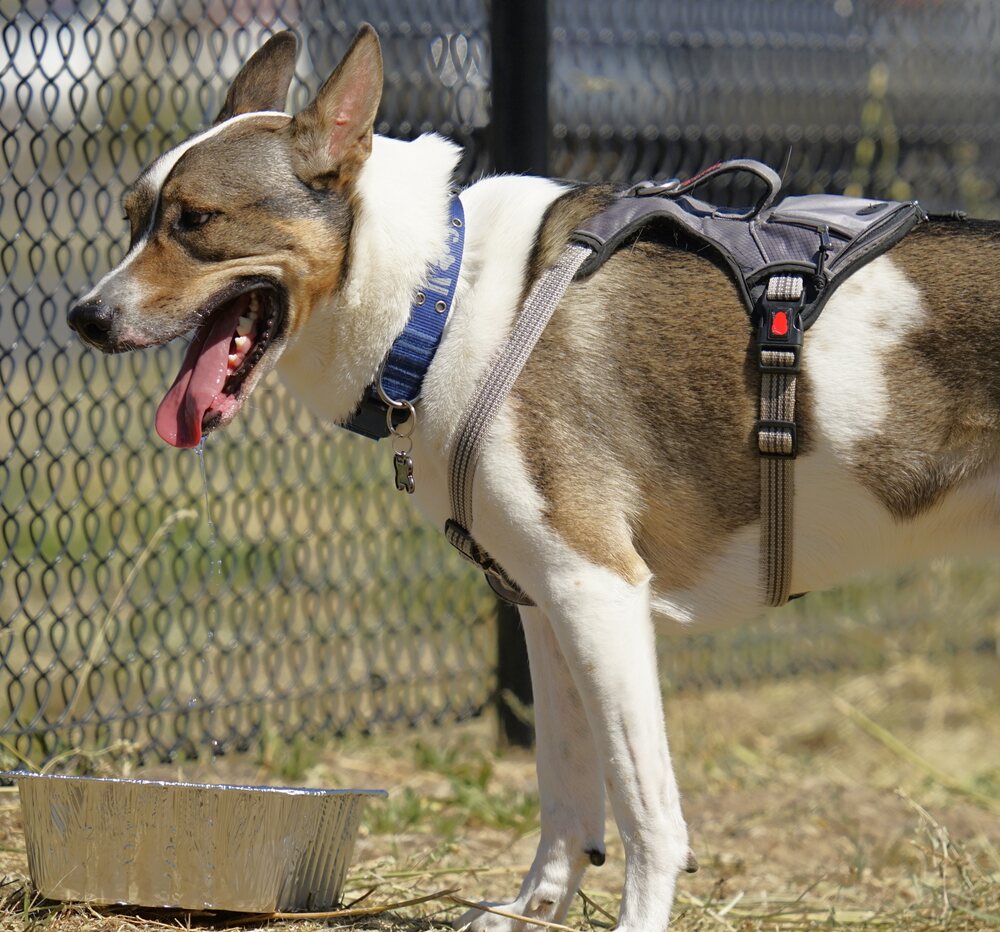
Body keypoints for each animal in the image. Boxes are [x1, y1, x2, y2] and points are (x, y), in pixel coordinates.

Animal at [68, 27, 1000, 932]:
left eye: (196, 221)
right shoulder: (545, 604)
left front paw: (636, 921)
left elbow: (646, 813)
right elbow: (566, 796)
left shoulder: (599, 591)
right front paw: (535, 909)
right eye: (130, 219)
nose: (84, 317)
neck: (441, 300)